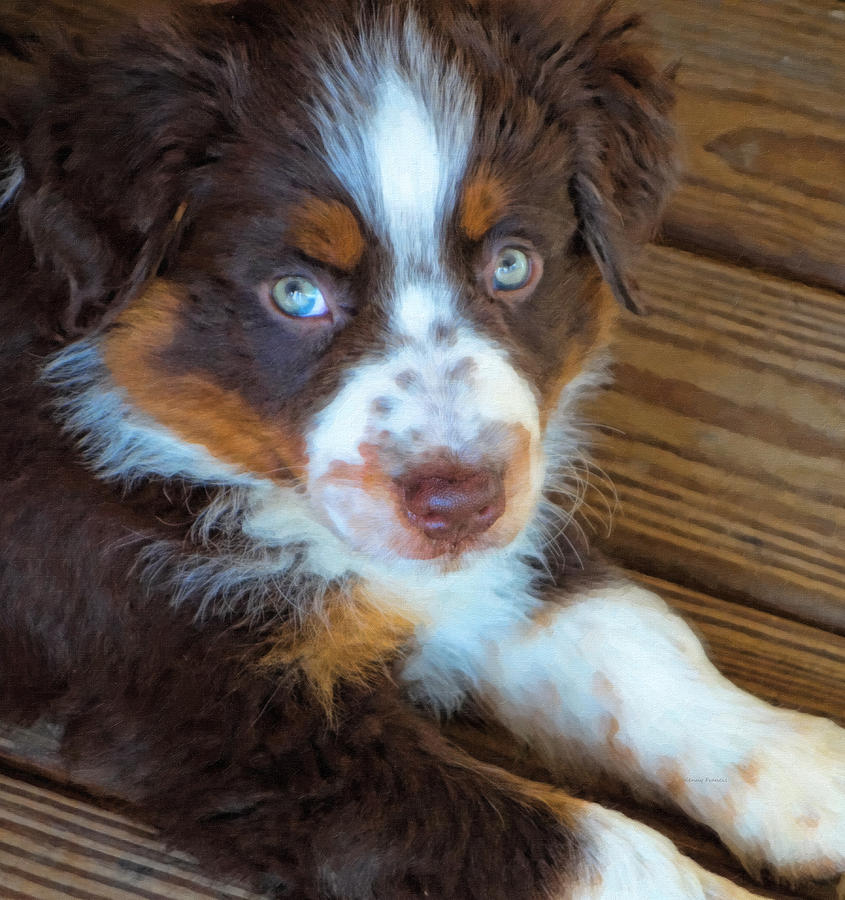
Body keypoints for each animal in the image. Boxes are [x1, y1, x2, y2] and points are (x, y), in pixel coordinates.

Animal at [0, 1, 840, 900]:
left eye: (512, 265)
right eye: (295, 294)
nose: (459, 504)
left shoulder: (500, 547)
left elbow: (630, 642)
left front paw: (806, 775)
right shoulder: (232, 714)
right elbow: (571, 845)